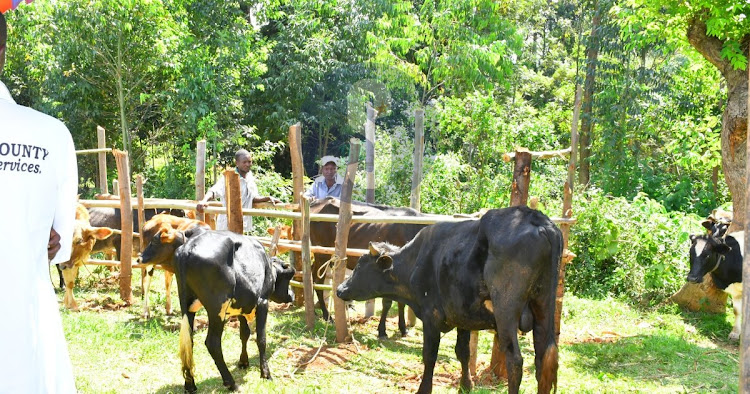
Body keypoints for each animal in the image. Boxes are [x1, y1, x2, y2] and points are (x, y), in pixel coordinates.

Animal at [173, 229, 296, 392]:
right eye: (288, 278)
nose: (292, 295)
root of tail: (187, 248)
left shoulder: (242, 307)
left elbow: (244, 334)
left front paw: (243, 362)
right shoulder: (262, 302)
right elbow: (261, 338)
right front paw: (266, 374)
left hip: (187, 307)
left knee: (188, 342)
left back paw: (190, 385)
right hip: (217, 309)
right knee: (212, 343)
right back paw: (231, 383)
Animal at [310, 197, 428, 338]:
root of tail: (321, 200)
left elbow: (401, 302)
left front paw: (403, 329)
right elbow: (387, 303)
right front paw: (382, 331)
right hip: (322, 253)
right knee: (318, 281)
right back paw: (327, 315)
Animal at [338, 206, 560, 394]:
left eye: (359, 266)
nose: (340, 289)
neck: (416, 261)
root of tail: (536, 218)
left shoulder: (431, 315)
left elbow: (429, 355)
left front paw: (424, 389)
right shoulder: (463, 315)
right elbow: (463, 352)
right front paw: (466, 385)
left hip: (506, 312)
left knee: (515, 360)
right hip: (543, 307)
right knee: (544, 358)